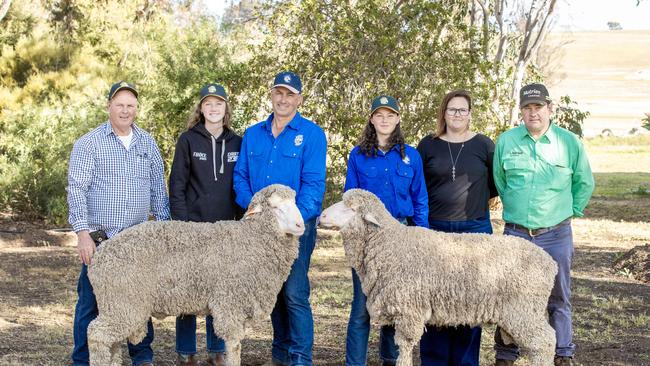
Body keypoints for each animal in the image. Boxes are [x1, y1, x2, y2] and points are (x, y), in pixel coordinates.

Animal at [85, 184, 304, 366]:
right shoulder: (230, 303)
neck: (250, 239)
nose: (301, 225)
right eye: (275, 207)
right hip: (123, 303)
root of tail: (100, 253)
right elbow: (234, 346)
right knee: (97, 335)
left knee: (112, 343)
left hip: (117, 305)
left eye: (294, 202)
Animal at [318, 189, 556, 366]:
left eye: (351, 208)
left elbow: (405, 346)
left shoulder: (409, 310)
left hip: (523, 309)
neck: (390, 243)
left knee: (545, 342)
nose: (321, 216)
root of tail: (550, 263)